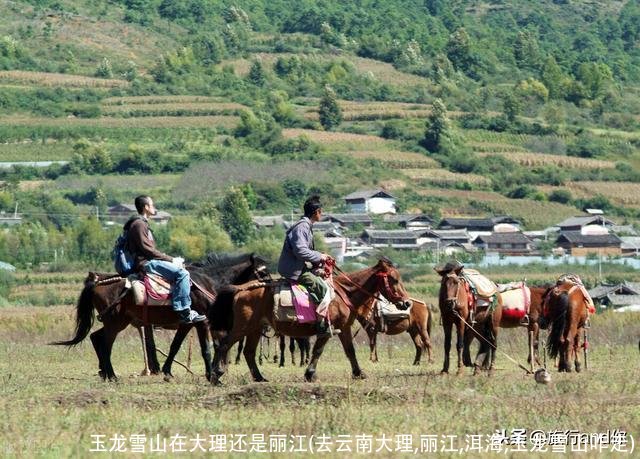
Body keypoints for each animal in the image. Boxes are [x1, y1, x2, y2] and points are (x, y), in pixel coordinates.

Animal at [210, 258, 410, 384]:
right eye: (393, 279)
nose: (407, 302)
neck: (343, 294)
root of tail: (241, 288)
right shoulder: (328, 329)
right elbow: (318, 351)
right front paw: (310, 374)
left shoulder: (344, 328)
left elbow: (350, 351)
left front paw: (358, 373)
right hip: (243, 327)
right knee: (224, 344)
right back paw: (215, 375)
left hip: (255, 328)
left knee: (248, 352)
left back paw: (259, 378)